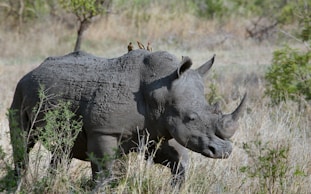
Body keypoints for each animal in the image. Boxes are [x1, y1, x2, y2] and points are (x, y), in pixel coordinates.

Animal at [9, 49, 247, 184]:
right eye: (191, 118)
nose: (224, 151)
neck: (160, 91)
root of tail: (33, 70)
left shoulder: (155, 130)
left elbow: (178, 162)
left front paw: (175, 186)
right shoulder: (103, 131)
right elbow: (104, 173)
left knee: (63, 149)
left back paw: (51, 184)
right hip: (19, 89)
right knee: (23, 141)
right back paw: (19, 185)